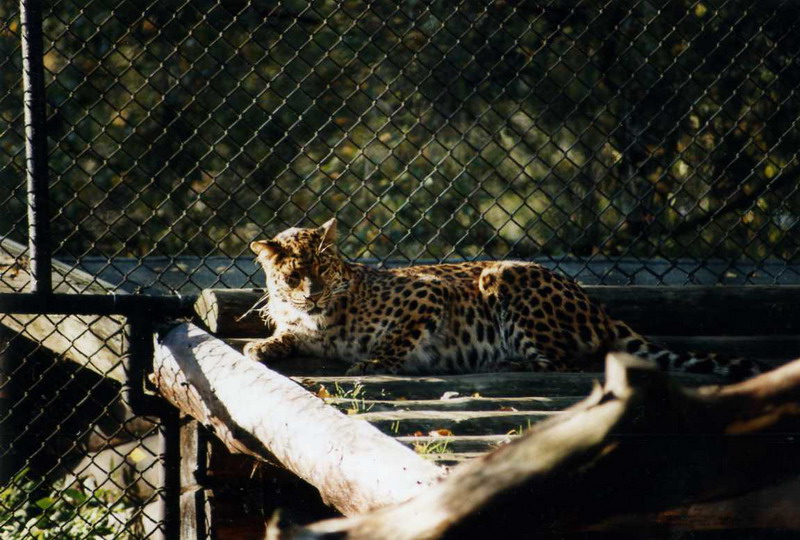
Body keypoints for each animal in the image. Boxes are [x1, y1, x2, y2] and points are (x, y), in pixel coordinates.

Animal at [243, 219, 760, 380]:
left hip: (504, 274)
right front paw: (261, 346)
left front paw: (373, 363)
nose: (313, 295)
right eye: (294, 275)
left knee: (564, 360)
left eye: (325, 268)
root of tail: (598, 306)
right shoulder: (300, 325)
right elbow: (285, 335)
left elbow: (398, 339)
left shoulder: (427, 292)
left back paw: (506, 362)